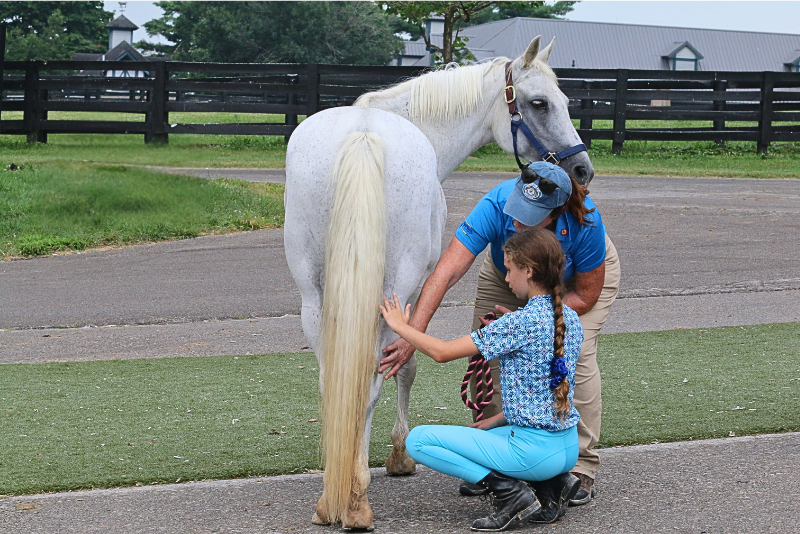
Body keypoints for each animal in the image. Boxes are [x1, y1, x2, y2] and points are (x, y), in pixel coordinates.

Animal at [283, 35, 593, 530]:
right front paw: (398, 456)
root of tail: (362, 135)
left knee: (334, 380)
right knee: (370, 381)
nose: (582, 170)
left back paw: (331, 499)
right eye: (539, 103)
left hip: (313, 299)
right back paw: (355, 501)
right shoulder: (415, 289)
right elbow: (406, 364)